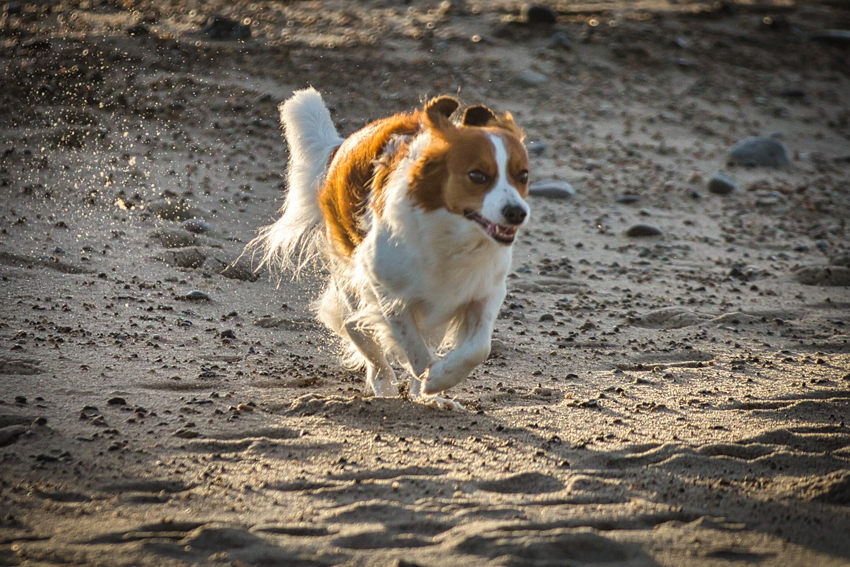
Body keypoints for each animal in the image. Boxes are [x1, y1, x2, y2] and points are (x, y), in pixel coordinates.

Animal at [250, 89, 528, 408]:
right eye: (478, 175)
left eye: (523, 175)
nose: (517, 213)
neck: (452, 236)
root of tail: (340, 147)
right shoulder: (389, 293)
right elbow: (414, 349)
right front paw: (432, 378)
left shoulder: (483, 291)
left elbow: (478, 348)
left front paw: (439, 381)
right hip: (353, 287)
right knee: (363, 337)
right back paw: (385, 388)